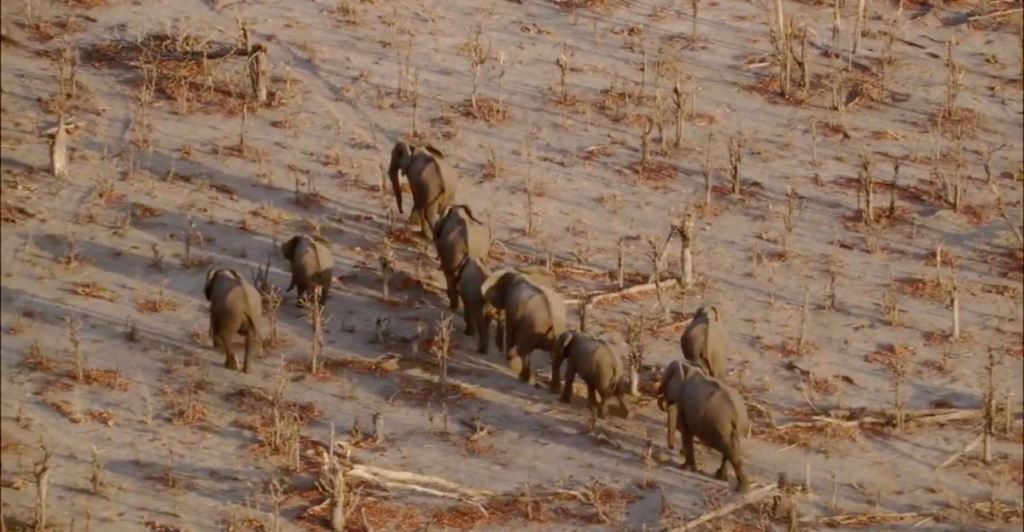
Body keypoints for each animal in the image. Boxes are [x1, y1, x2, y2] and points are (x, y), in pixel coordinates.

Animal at [656, 359, 750, 491]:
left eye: (665, 378)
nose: (672, 448)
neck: (690, 368)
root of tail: (736, 412)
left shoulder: (683, 402)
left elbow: (685, 431)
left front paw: (685, 468)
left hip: (720, 424)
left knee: (729, 450)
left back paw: (742, 488)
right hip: (733, 427)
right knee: (731, 448)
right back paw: (722, 478)